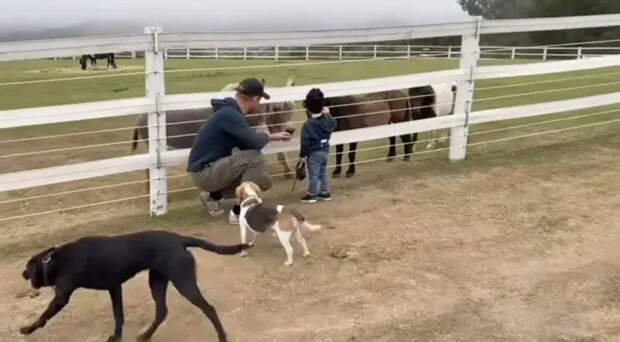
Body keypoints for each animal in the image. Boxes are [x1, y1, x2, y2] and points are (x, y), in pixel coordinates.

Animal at [20, 230, 251, 342]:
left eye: (27, 267)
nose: (22, 274)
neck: (56, 261)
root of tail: (179, 239)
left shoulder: (61, 297)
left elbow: (43, 316)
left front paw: (28, 329)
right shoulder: (115, 288)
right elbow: (118, 315)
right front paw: (116, 336)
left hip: (183, 281)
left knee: (208, 308)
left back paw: (222, 337)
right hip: (157, 281)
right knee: (162, 311)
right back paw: (146, 336)